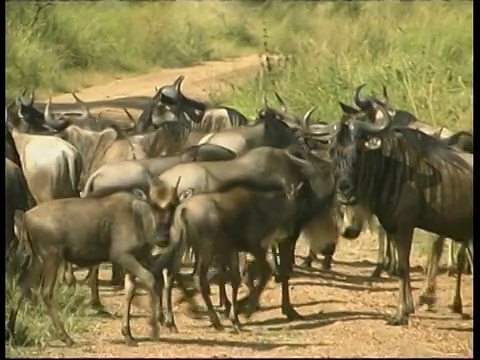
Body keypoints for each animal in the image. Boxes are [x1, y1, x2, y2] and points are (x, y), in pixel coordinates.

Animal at [7, 173, 188, 348]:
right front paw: (154, 327)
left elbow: (132, 291)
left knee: (22, 287)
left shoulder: (136, 259)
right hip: (51, 257)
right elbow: (150, 279)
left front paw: (128, 335)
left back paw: (11, 333)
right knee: (46, 292)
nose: (163, 239)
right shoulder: (122, 256)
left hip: (37, 259)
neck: (139, 219)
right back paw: (66, 338)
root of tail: (25, 217)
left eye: (173, 206)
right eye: (152, 205)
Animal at [171, 181, 302, 334]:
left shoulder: (233, 250)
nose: (289, 234)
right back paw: (214, 320)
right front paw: (247, 310)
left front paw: (235, 317)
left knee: (172, 276)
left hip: (181, 249)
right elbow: (265, 273)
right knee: (198, 278)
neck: (264, 206)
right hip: (205, 251)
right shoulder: (255, 247)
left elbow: (236, 279)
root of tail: (183, 210)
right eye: (293, 208)